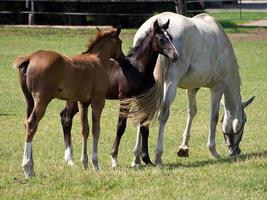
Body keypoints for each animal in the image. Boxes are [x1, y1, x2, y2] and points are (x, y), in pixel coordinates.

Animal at [133, 12, 254, 166]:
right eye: (245, 121)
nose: (236, 151)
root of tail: (155, 24)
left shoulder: (192, 88)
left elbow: (191, 112)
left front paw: (184, 148)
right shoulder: (217, 87)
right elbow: (213, 117)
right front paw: (213, 151)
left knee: (141, 113)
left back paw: (136, 158)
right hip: (170, 83)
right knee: (164, 114)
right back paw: (158, 157)